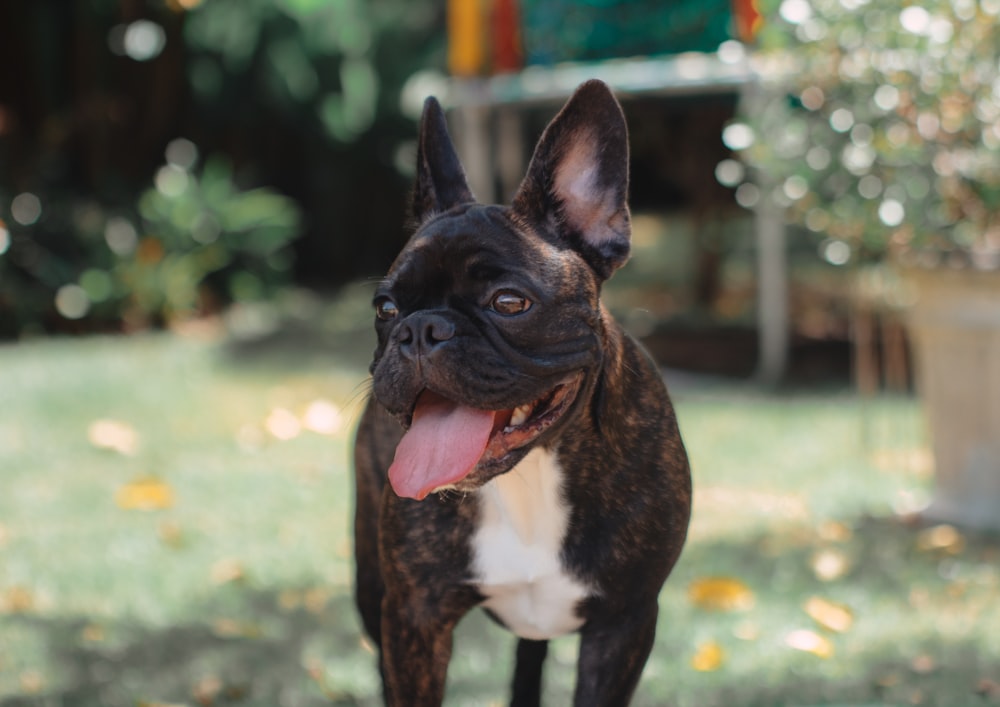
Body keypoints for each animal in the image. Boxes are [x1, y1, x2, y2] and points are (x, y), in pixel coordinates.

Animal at [356, 80, 692, 704]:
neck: (530, 475)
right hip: (371, 588)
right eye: (386, 309)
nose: (421, 330)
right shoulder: (413, 618)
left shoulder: (624, 623)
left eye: (509, 303)